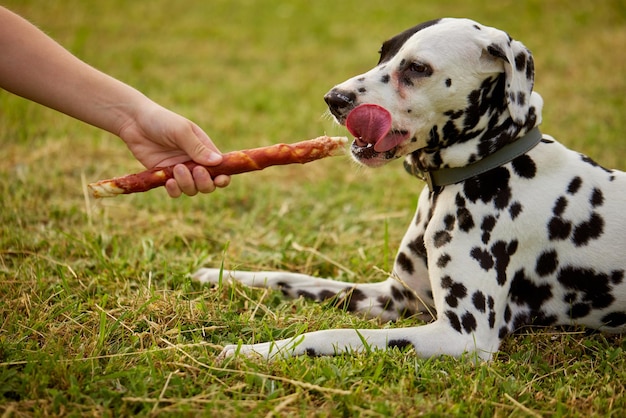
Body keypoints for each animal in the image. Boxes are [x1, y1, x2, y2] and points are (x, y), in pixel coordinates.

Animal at [193, 18, 620, 360]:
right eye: (382, 53)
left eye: (417, 68)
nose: (334, 99)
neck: (493, 163)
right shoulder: (394, 296)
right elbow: (292, 278)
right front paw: (220, 275)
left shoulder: (461, 335)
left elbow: (332, 333)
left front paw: (256, 350)